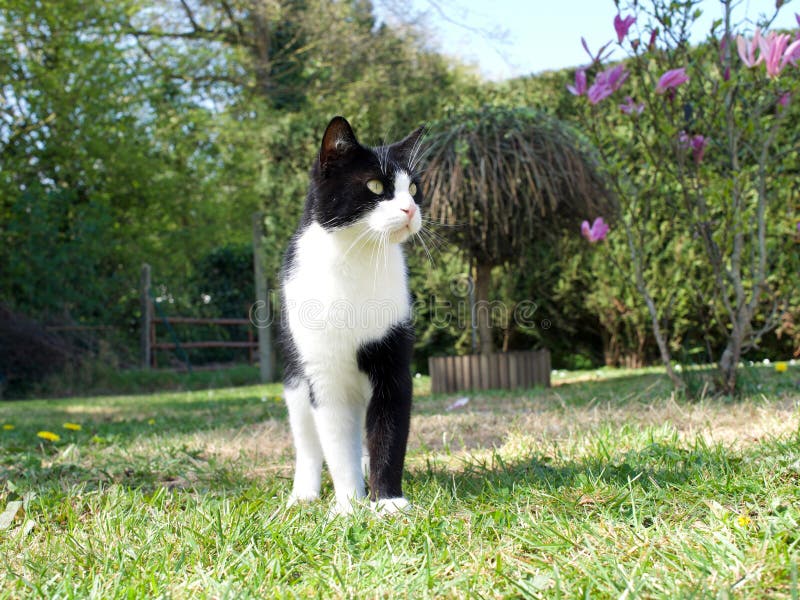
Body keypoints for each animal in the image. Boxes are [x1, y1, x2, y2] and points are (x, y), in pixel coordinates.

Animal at [280, 117, 424, 516]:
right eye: (374, 185)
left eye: (414, 189)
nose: (410, 210)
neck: (358, 258)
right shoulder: (323, 374)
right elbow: (335, 443)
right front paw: (348, 505)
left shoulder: (393, 362)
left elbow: (389, 431)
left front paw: (387, 500)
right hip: (296, 379)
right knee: (308, 441)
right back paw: (304, 493)